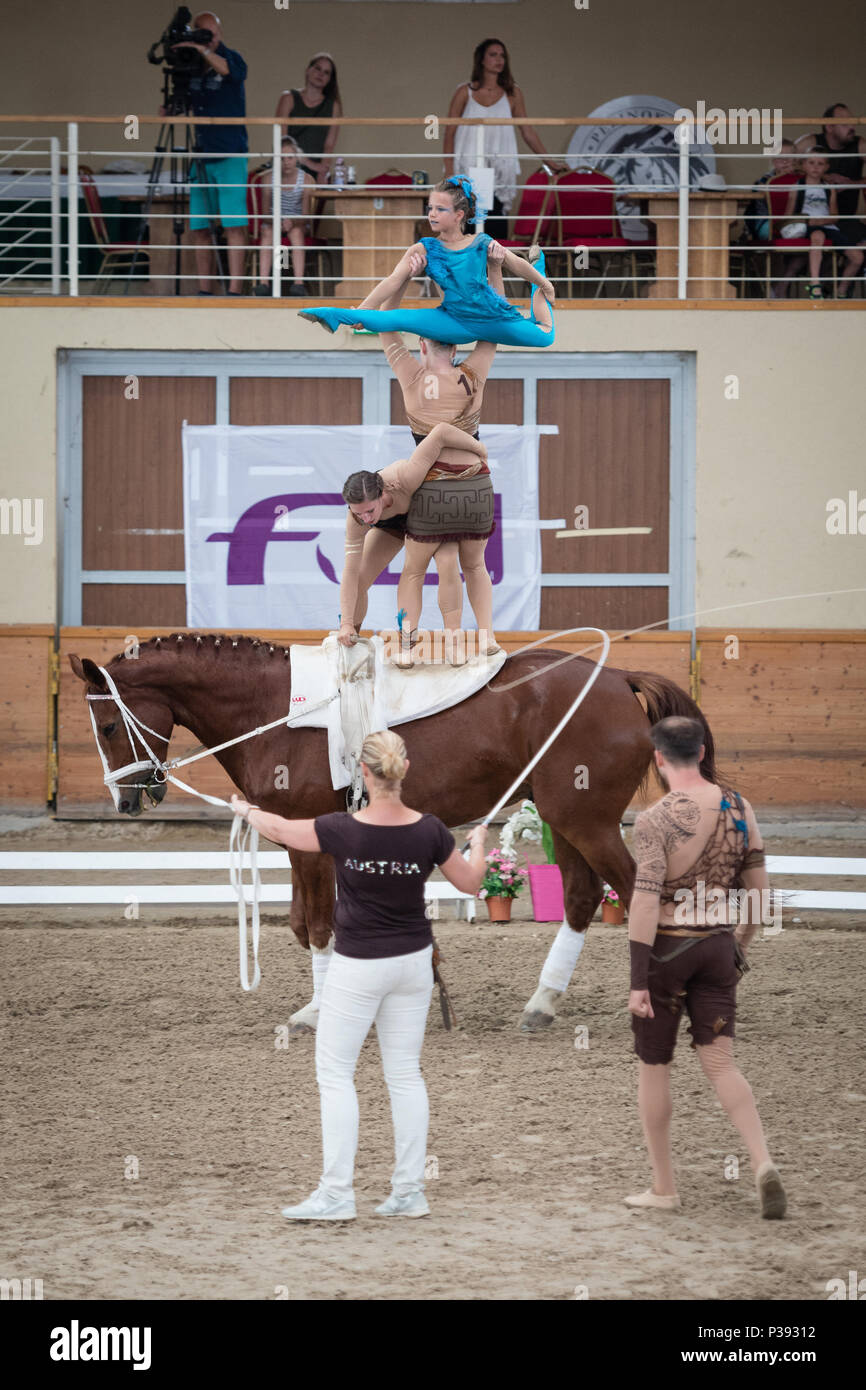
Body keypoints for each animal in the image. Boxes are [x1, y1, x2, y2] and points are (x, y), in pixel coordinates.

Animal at [69, 636, 717, 1028]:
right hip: (568, 819)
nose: (126, 799)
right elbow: (307, 924)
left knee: (634, 893)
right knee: (583, 898)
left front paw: (317, 1013)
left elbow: (319, 926)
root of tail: (617, 676)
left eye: (107, 726)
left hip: (586, 819)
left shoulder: (310, 839)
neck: (275, 709)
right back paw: (541, 1006)